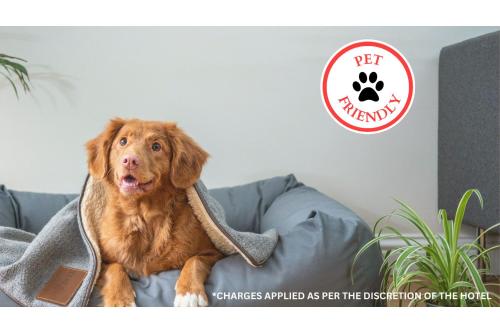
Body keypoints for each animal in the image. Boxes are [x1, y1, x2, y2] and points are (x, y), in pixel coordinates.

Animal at [86, 117, 223, 306]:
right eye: (123, 141)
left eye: (156, 146)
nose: (129, 160)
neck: (143, 215)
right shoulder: (101, 262)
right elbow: (115, 267)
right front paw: (120, 300)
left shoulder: (214, 252)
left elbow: (195, 260)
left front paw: (189, 293)